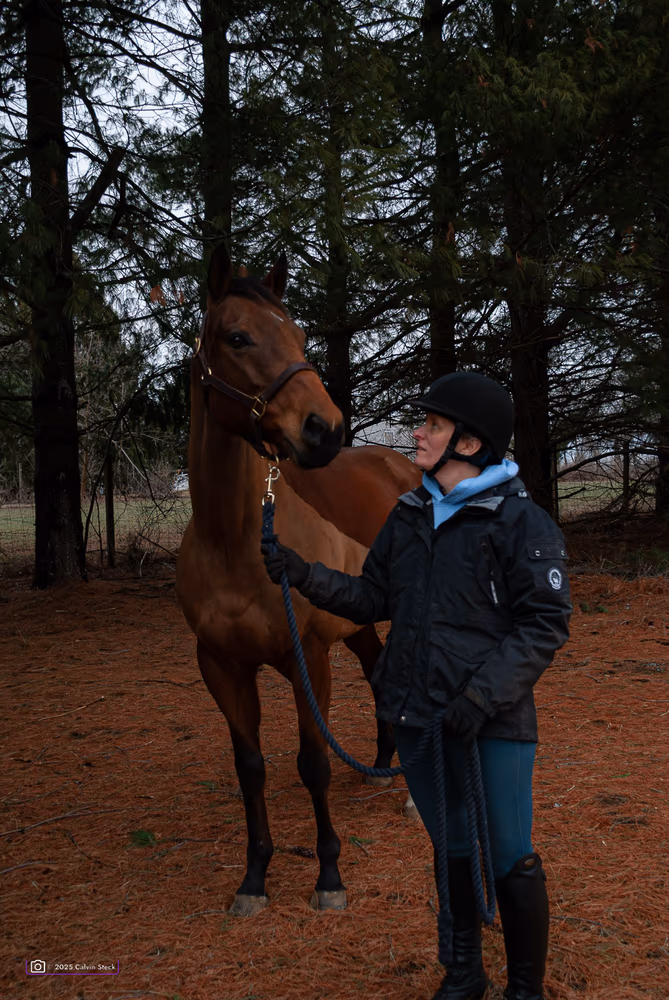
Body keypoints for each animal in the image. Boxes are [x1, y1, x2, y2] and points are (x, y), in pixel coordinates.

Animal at [176, 244, 421, 916]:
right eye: (238, 337)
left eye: (300, 334)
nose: (325, 428)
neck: (233, 540)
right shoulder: (222, 666)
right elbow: (251, 767)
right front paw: (254, 877)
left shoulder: (306, 656)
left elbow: (314, 762)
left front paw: (328, 873)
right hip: (358, 621)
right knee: (379, 669)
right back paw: (382, 763)